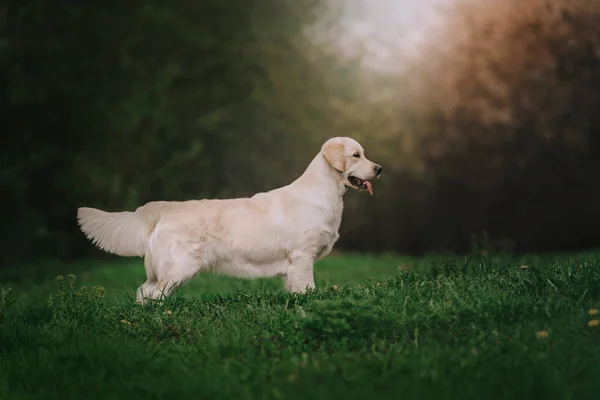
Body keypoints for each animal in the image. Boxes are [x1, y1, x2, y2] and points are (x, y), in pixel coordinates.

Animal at [77, 138, 382, 304]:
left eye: (364, 154)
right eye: (356, 155)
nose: (379, 169)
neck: (325, 193)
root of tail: (164, 208)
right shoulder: (302, 256)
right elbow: (307, 289)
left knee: (144, 291)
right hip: (179, 268)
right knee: (151, 293)